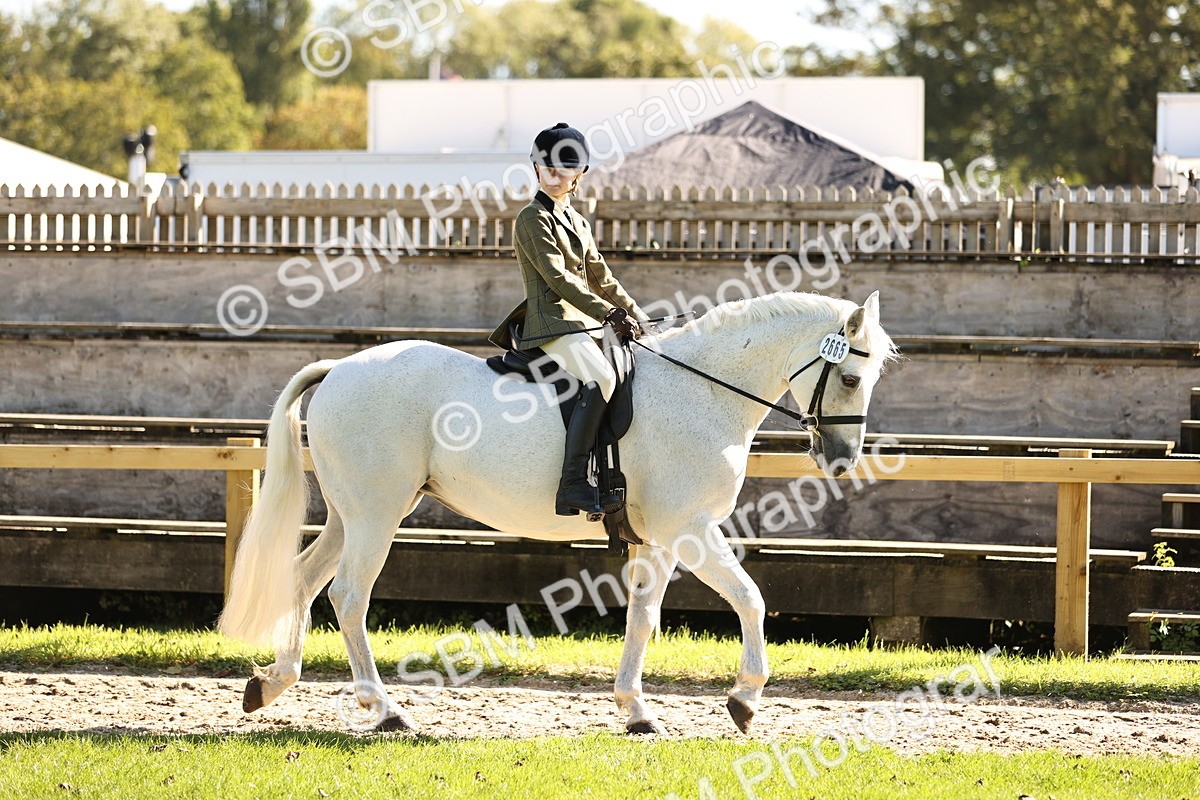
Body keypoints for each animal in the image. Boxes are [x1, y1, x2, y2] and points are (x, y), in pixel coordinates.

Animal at [219, 290, 898, 735]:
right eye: (848, 379)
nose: (842, 460)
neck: (702, 391)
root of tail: (338, 368)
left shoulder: (659, 541)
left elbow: (643, 619)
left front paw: (636, 711)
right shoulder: (691, 530)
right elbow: (752, 599)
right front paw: (745, 701)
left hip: (354, 515)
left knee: (304, 580)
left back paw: (270, 685)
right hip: (375, 517)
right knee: (349, 596)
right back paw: (387, 712)